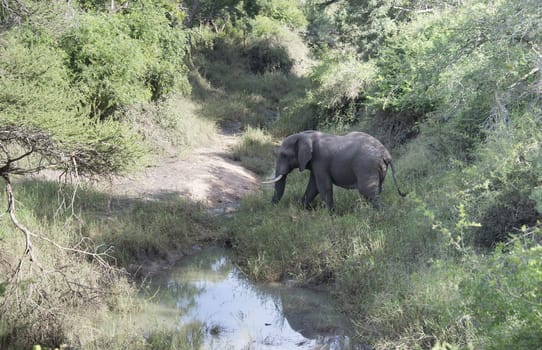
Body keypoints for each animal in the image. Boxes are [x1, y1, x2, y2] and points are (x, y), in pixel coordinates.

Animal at [264, 129, 408, 209]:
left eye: (284, 155)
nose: (273, 208)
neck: (304, 135)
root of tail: (386, 153)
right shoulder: (315, 164)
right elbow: (313, 187)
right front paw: (302, 208)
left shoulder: (320, 160)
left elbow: (324, 187)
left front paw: (330, 216)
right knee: (377, 190)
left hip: (366, 166)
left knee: (368, 191)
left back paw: (382, 215)